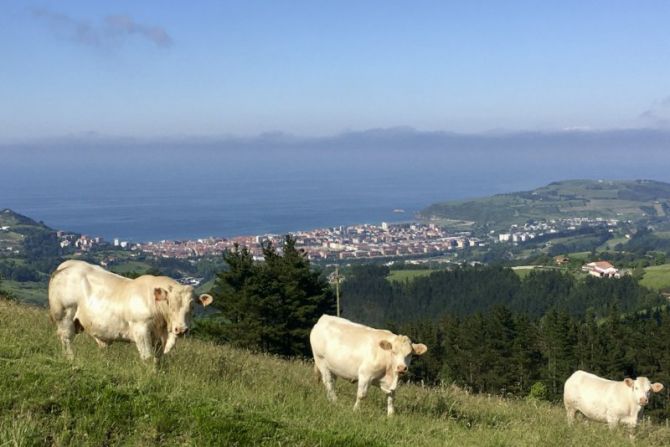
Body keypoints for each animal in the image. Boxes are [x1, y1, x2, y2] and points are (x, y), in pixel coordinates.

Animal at [49, 260, 214, 362]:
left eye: (192, 306)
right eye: (169, 303)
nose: (181, 329)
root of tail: (67, 265)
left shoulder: (159, 338)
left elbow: (158, 360)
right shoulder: (141, 330)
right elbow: (148, 357)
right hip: (64, 316)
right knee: (66, 339)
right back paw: (71, 359)